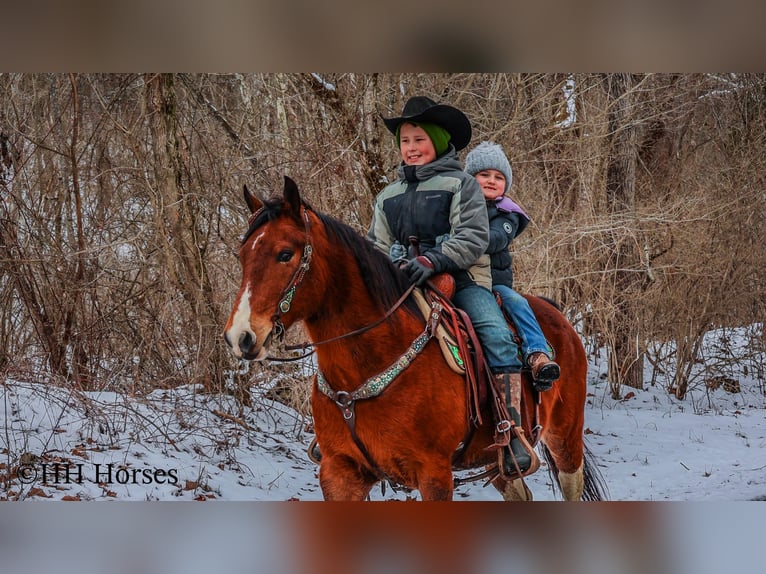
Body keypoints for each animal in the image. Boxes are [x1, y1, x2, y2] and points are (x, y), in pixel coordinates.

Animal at [224, 176, 607, 501]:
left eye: (285, 254)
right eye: (242, 256)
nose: (240, 335)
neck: (366, 367)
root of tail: (556, 314)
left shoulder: (434, 474)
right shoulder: (339, 473)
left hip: (565, 438)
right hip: (496, 461)